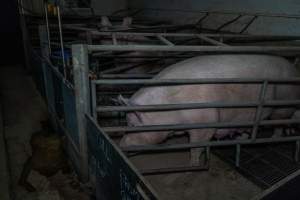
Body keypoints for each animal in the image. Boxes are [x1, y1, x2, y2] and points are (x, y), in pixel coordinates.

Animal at [119, 54, 300, 166]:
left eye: (133, 125)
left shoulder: (205, 123)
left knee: (280, 123)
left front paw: (191, 165)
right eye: (126, 123)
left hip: (283, 105)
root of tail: (293, 68)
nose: (121, 145)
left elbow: (196, 146)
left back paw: (275, 137)